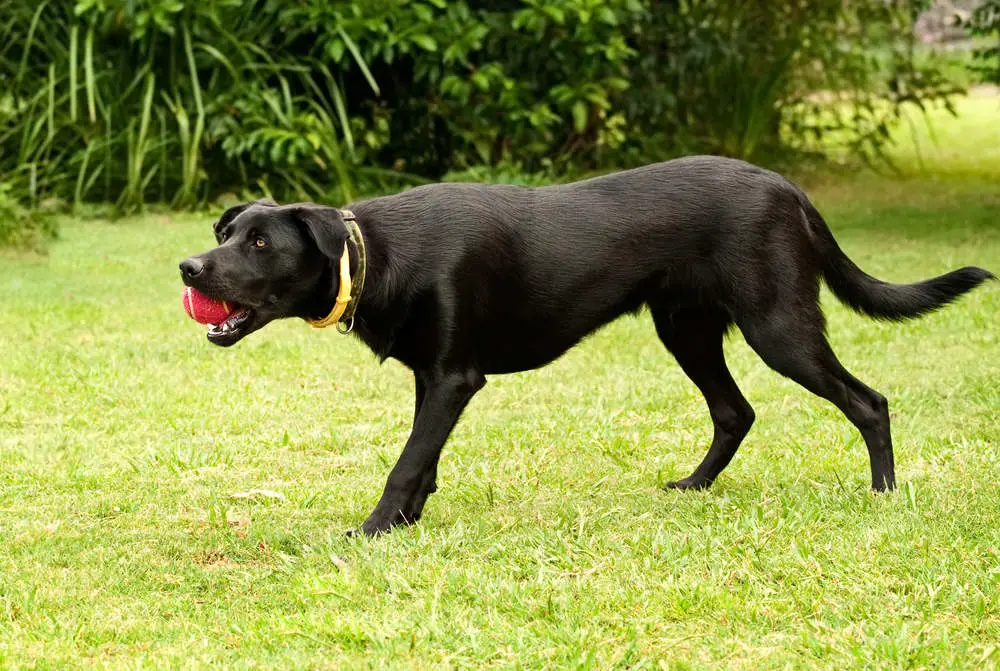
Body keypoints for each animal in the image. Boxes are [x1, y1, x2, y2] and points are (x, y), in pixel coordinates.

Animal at [180, 156, 992, 536]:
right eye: (227, 232)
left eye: (259, 243)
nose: (188, 268)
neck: (372, 253)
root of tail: (786, 186)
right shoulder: (431, 377)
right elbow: (424, 461)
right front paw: (407, 523)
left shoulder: (454, 377)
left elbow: (406, 461)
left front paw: (375, 529)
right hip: (685, 328)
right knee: (735, 412)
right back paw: (694, 486)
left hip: (779, 327)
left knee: (868, 401)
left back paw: (883, 493)